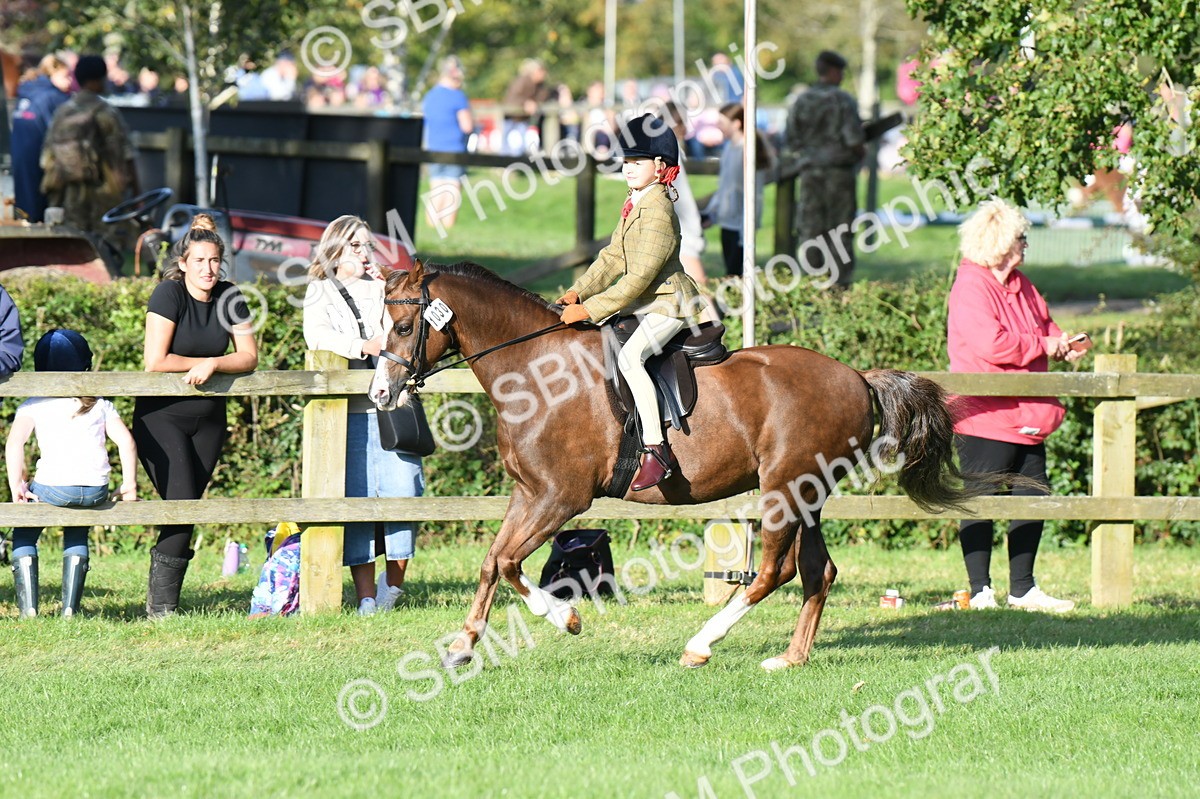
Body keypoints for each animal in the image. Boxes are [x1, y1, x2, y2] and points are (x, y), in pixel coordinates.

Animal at [370, 260, 983, 671]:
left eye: (403, 328)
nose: (380, 393)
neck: (535, 371)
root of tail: (856, 376)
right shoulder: (529, 494)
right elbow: (492, 563)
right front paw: (462, 645)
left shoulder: (561, 498)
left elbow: (509, 563)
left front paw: (567, 619)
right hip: (807, 492)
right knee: (818, 572)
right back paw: (790, 658)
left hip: (783, 491)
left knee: (773, 572)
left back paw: (700, 645)